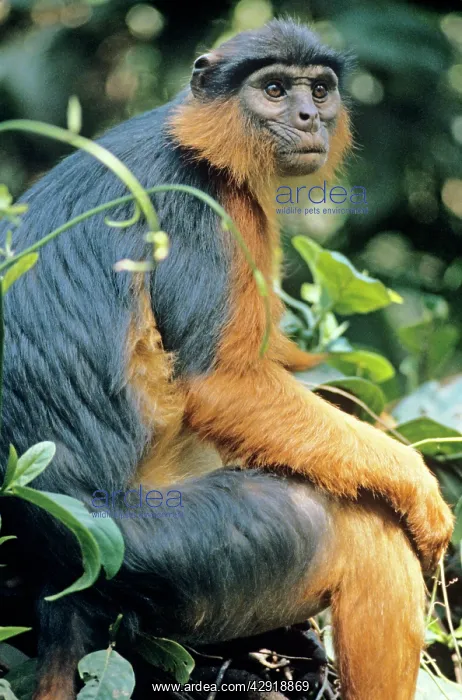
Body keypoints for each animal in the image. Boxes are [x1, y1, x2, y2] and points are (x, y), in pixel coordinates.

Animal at [0, 19, 454, 700]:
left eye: (319, 91)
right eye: (274, 90)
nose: (307, 117)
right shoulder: (207, 205)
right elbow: (223, 385)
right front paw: (421, 489)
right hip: (179, 552)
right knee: (363, 533)